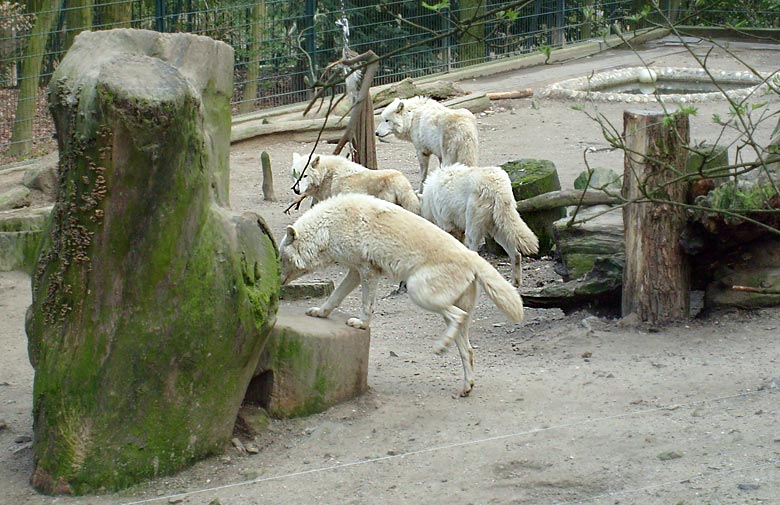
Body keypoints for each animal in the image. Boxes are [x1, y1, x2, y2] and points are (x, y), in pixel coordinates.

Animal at [278, 193, 528, 398]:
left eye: (281, 258)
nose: (278, 282)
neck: (329, 228)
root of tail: (473, 258)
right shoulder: (355, 273)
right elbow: (334, 298)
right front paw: (320, 313)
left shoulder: (367, 272)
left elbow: (366, 306)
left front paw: (361, 324)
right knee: (468, 348)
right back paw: (465, 387)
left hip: (418, 291)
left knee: (457, 317)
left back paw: (441, 347)